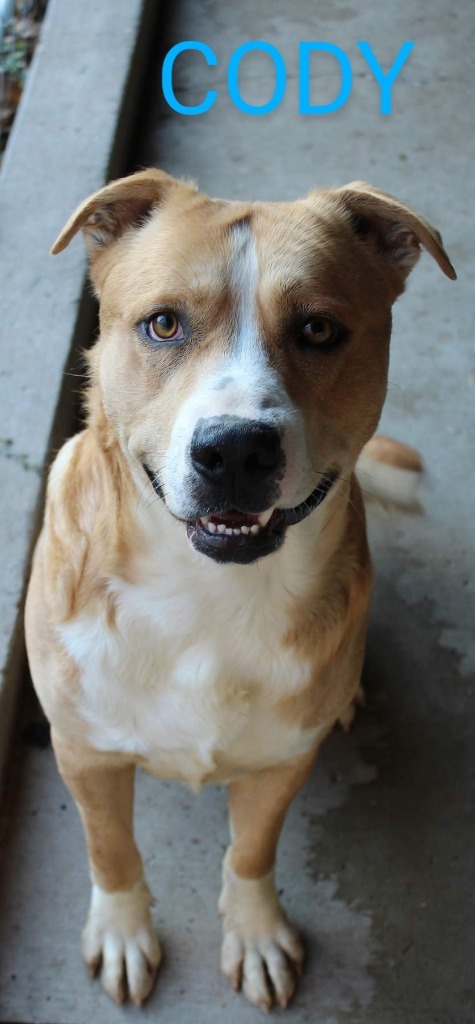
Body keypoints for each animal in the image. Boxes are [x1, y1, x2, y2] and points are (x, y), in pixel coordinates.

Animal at [25, 172, 456, 1011]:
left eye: (318, 329)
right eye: (163, 324)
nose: (233, 450)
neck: (208, 600)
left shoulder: (280, 762)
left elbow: (251, 852)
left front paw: (254, 933)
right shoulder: (84, 752)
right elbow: (110, 849)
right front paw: (122, 931)